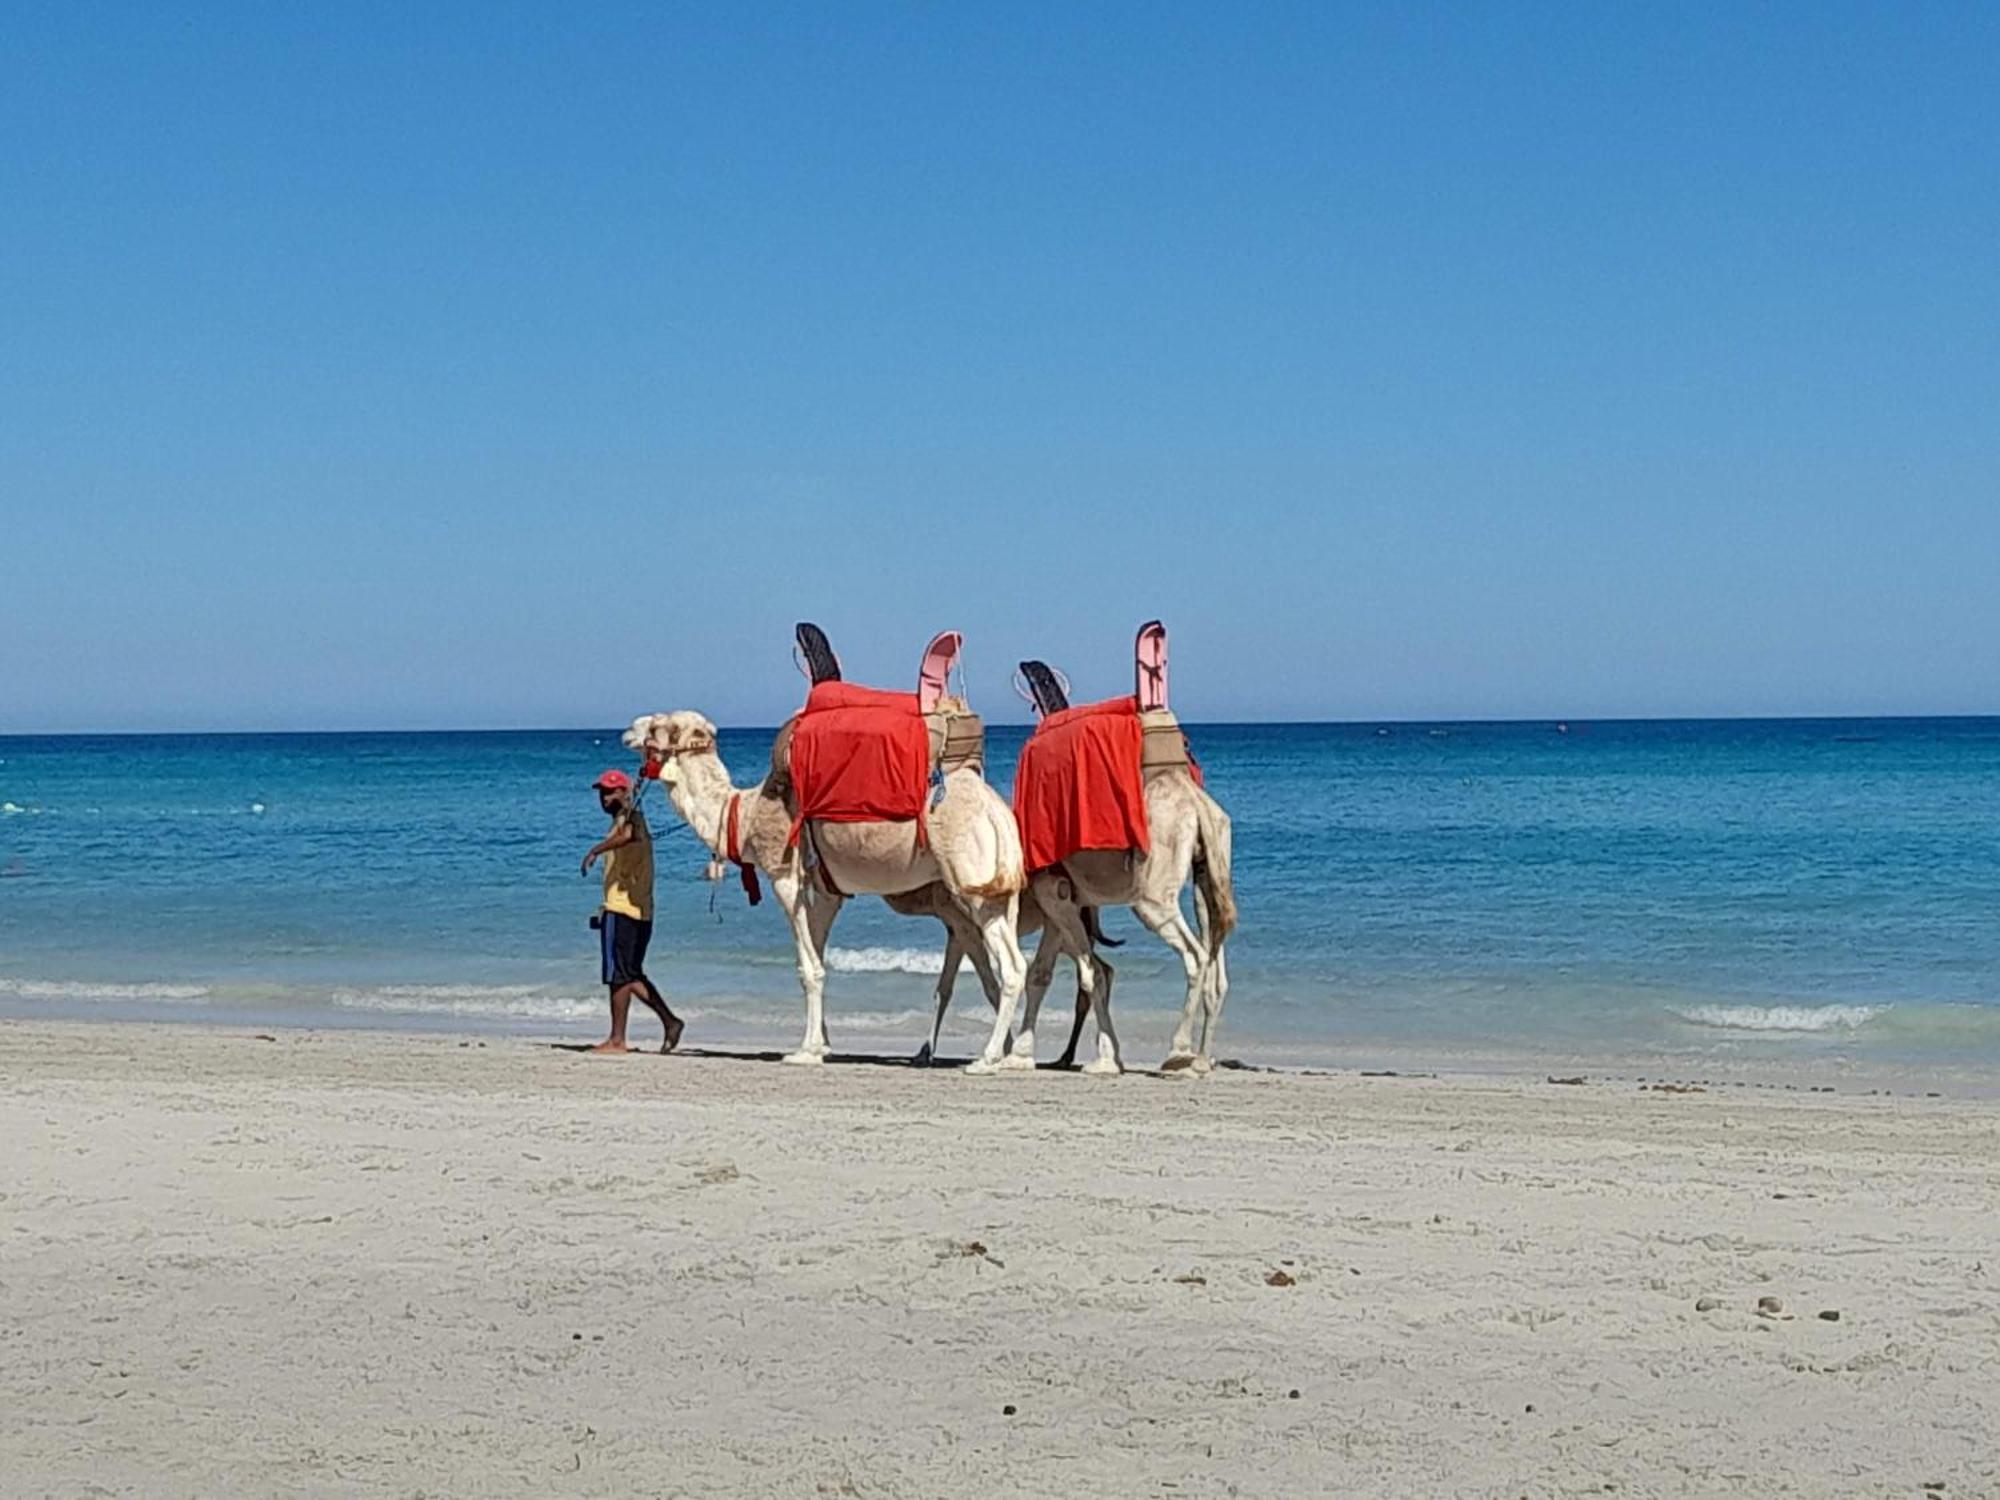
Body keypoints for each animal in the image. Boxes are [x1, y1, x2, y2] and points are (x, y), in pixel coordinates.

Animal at [620, 712, 1032, 1072]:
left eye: (657, 726)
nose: (627, 730)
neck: (745, 815)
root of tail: (996, 810)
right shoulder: (826, 893)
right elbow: (816, 957)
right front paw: (821, 1045)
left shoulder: (785, 877)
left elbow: (808, 968)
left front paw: (803, 1052)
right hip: (1000, 888)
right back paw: (1005, 1055)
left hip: (971, 883)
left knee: (1011, 966)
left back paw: (986, 1060)